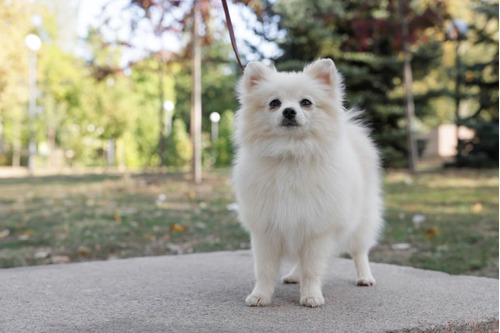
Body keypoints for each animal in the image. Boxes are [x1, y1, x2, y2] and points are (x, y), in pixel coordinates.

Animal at [232, 57, 384, 306]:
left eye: (306, 102)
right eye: (274, 103)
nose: (289, 111)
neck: (290, 154)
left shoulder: (317, 230)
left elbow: (312, 268)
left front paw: (311, 295)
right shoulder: (267, 228)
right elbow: (264, 269)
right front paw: (260, 295)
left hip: (361, 221)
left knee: (359, 251)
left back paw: (365, 277)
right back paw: (294, 275)